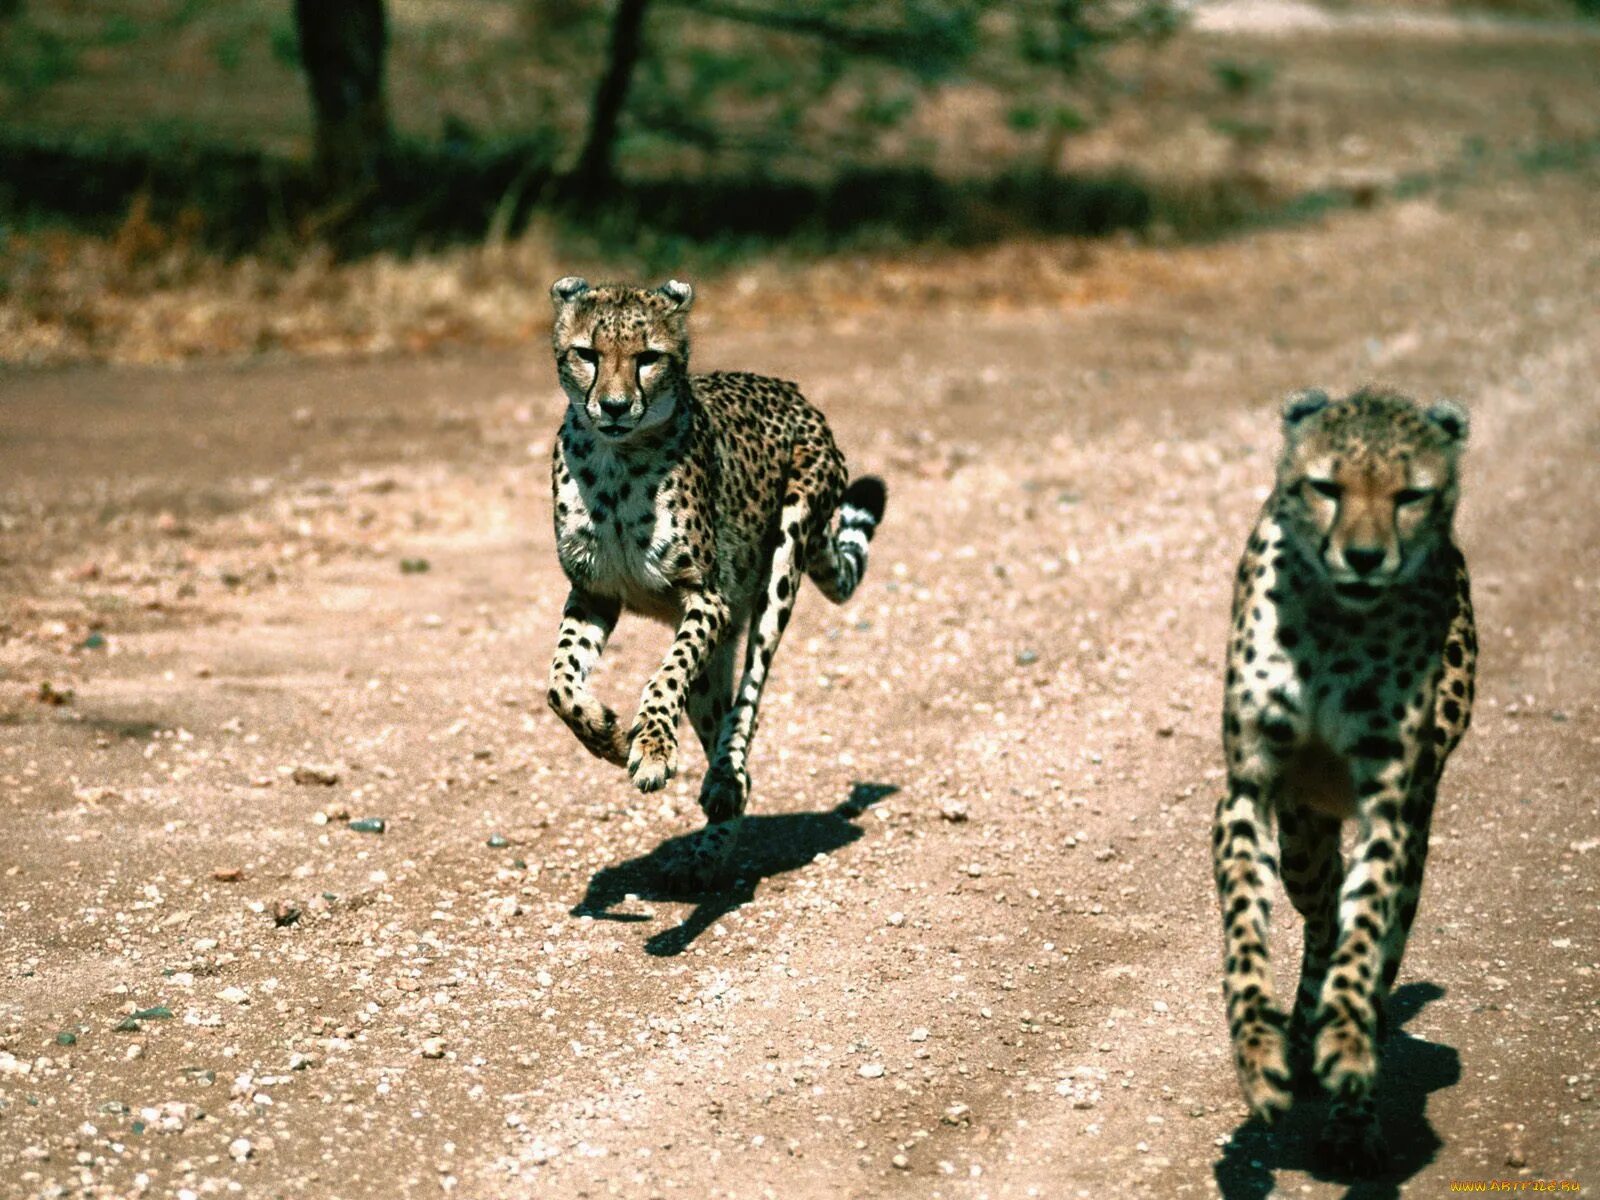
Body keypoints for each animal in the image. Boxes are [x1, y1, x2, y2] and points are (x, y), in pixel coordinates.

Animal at [544, 276, 883, 889]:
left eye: (648, 358)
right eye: (587, 353)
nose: (614, 406)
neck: (616, 458)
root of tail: (794, 392)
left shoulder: (708, 597)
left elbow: (663, 678)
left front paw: (652, 746)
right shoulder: (594, 593)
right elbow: (558, 684)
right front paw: (608, 736)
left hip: (783, 558)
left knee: (749, 698)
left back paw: (725, 780)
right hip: (716, 651)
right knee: (721, 716)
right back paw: (712, 839)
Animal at [1216, 387, 1478, 1177]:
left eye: (1410, 495)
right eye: (1326, 487)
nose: (1364, 557)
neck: (1339, 626)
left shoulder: (1391, 805)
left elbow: (1363, 948)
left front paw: (1347, 1064)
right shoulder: (1248, 789)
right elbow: (1246, 933)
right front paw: (1260, 1056)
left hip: (1411, 828)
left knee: (1364, 934)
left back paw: (1347, 1100)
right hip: (1303, 833)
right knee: (1322, 906)